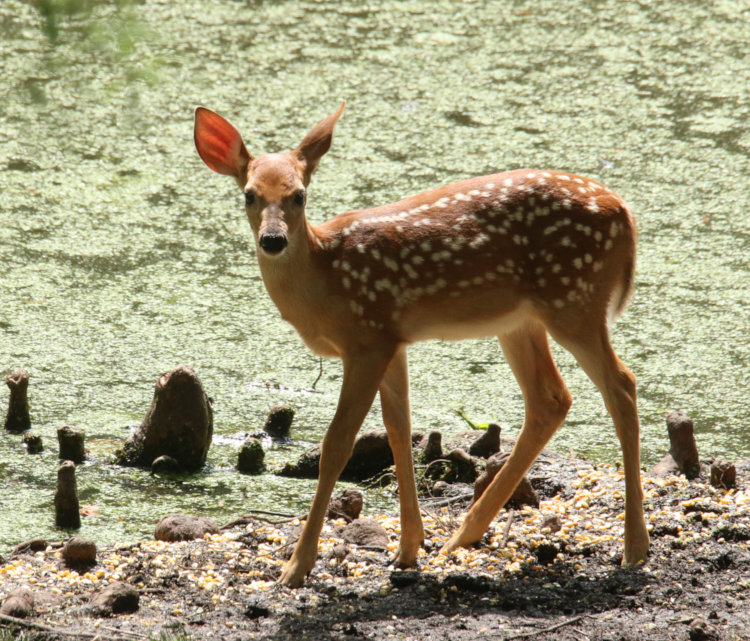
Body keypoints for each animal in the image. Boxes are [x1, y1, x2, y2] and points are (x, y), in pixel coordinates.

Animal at [193, 102, 650, 588]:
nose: (273, 240)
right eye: (249, 194)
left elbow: (337, 444)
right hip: (521, 320)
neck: (325, 276)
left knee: (621, 385)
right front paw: (409, 548)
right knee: (551, 398)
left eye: (299, 195)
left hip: (574, 299)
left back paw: (634, 547)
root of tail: (625, 211)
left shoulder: (366, 339)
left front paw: (296, 567)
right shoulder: (392, 340)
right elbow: (398, 432)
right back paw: (463, 536)